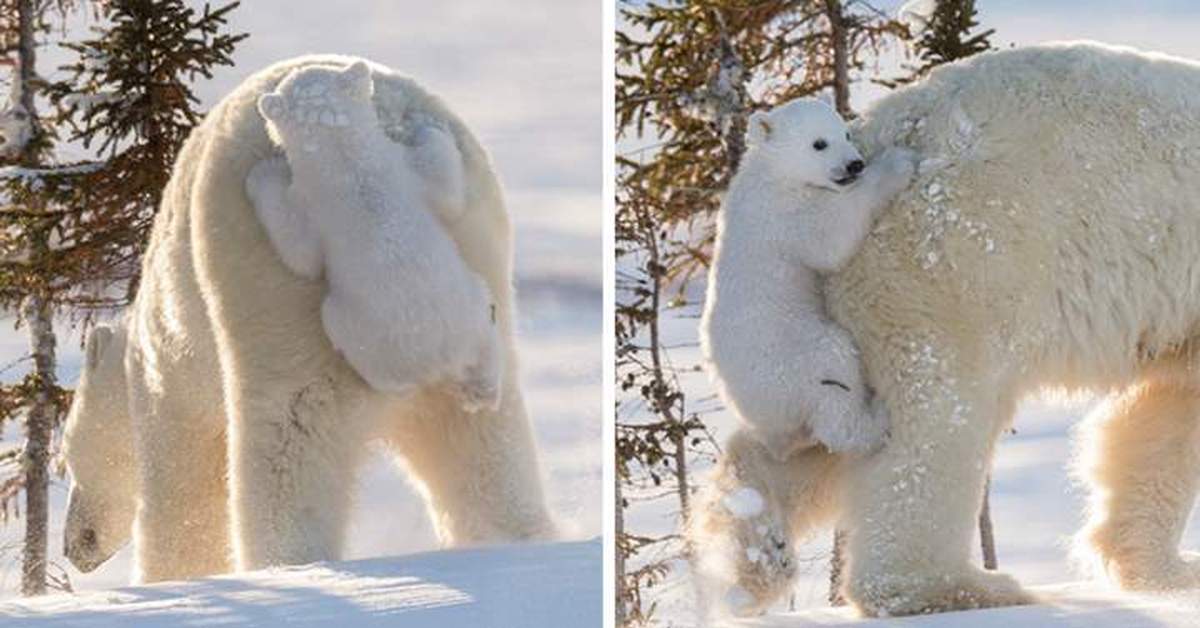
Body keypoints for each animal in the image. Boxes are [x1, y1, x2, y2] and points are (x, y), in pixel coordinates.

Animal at [60, 55, 556, 585]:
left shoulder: (169, 374)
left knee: (288, 440)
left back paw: (285, 563)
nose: (74, 547)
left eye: (64, 457)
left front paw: (172, 578)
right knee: (483, 444)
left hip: (270, 292)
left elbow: (184, 491)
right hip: (477, 258)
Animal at [700, 98, 912, 461]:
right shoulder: (785, 217)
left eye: (845, 133)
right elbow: (831, 238)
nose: (855, 164)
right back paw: (877, 418)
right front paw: (898, 162)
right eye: (819, 143)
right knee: (833, 371)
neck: (771, 173)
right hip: (794, 355)